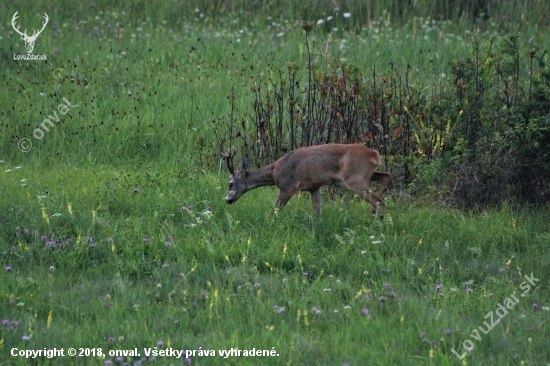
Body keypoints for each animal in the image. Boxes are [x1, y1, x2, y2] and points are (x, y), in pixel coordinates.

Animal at [224, 143, 392, 217]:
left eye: (230, 184)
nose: (227, 200)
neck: (274, 172)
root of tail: (375, 154)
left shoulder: (288, 186)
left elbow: (274, 209)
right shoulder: (314, 187)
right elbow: (317, 211)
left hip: (354, 178)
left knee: (379, 201)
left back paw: (378, 220)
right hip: (366, 174)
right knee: (386, 176)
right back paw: (372, 213)